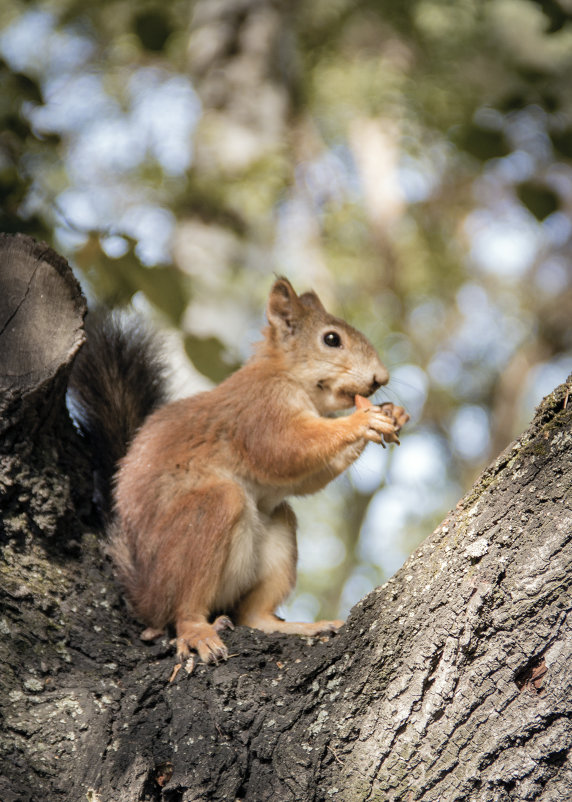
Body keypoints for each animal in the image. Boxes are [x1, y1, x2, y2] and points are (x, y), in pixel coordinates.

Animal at [69, 278, 408, 660]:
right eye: (331, 339)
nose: (382, 378)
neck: (286, 376)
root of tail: (146, 598)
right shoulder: (259, 411)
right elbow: (285, 448)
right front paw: (361, 420)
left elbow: (304, 479)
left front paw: (393, 413)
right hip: (204, 519)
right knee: (183, 607)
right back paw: (196, 630)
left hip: (277, 528)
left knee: (252, 614)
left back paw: (295, 626)